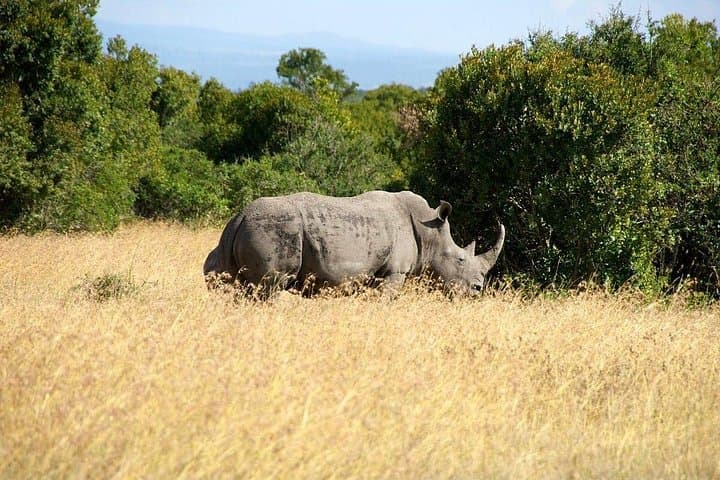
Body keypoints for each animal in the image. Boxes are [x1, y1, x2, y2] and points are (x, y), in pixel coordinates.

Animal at [204, 190, 504, 295]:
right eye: (460, 259)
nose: (478, 290)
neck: (429, 230)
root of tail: (240, 216)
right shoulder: (394, 272)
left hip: (237, 234)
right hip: (274, 230)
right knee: (271, 287)